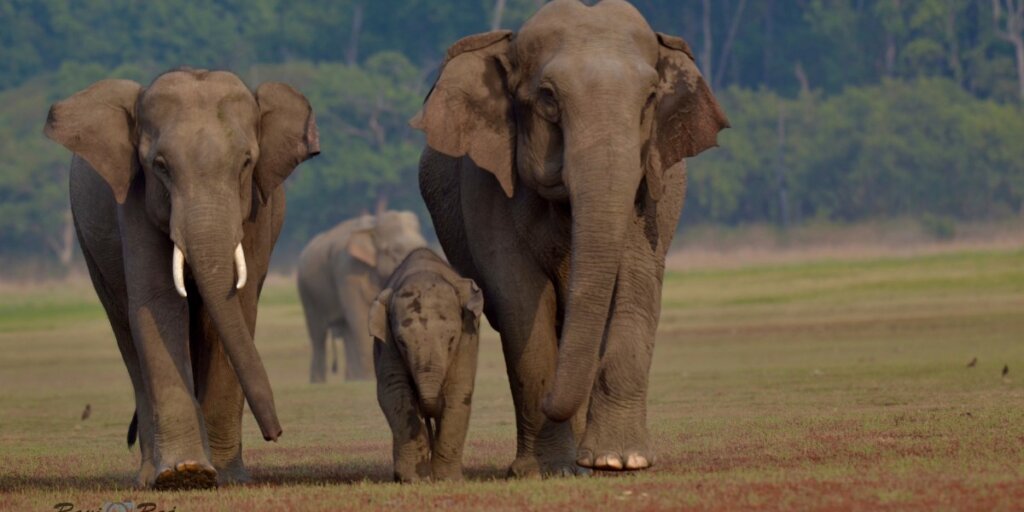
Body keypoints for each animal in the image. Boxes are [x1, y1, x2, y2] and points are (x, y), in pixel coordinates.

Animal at [43, 67, 319, 487]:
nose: (276, 432)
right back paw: (148, 475)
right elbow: (158, 304)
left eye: (246, 163)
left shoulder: (258, 211)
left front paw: (227, 477)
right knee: (126, 333)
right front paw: (186, 473)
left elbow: (234, 307)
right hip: (89, 246)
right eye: (160, 166)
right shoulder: (135, 201)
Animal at [296, 209, 428, 382]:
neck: (373, 225)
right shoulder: (349, 271)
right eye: (394, 251)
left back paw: (351, 378)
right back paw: (319, 382)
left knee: (345, 329)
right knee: (318, 334)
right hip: (308, 292)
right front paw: (369, 379)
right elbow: (361, 316)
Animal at [368, 245, 483, 481]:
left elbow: (459, 391)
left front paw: (448, 480)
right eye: (402, 342)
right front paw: (414, 479)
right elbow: (395, 391)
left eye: (451, 339)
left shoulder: (469, 336)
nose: (431, 403)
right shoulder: (386, 341)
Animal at [409, 0, 729, 477]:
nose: (548, 400)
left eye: (650, 99)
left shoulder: (653, 192)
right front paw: (549, 469)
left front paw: (620, 460)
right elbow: (520, 299)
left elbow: (636, 282)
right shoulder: (485, 182)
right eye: (548, 97)